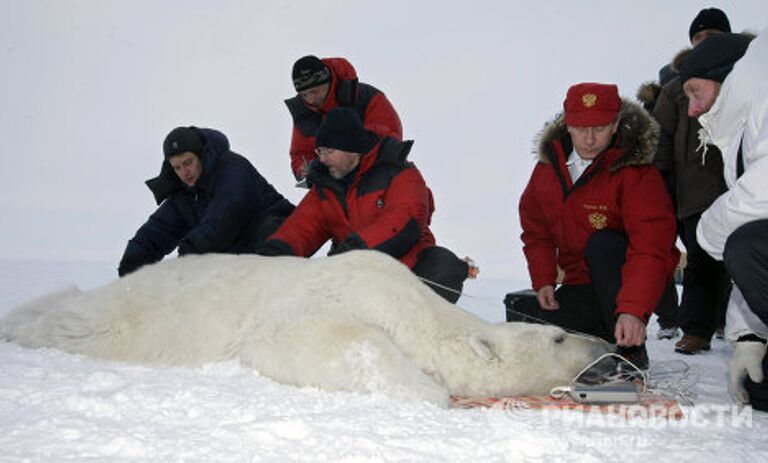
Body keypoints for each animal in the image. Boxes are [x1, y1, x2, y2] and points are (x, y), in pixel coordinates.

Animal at [1, 250, 612, 406]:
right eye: (558, 336)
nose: (606, 344)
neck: (411, 305)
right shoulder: (336, 296)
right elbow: (311, 339)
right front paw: (428, 389)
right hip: (109, 319)